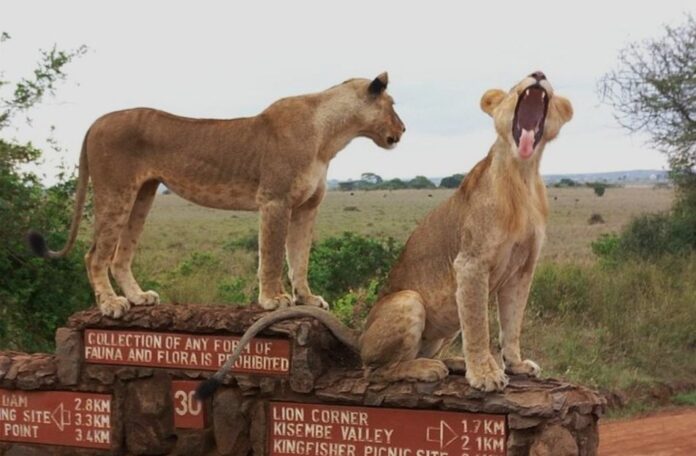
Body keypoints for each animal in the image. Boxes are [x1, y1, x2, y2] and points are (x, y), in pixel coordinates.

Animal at [28, 73, 405, 318]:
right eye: (393, 104)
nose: (402, 130)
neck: (330, 135)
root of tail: (96, 121)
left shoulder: (307, 207)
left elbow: (299, 259)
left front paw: (308, 299)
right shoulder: (275, 200)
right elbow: (271, 256)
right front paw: (273, 300)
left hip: (142, 195)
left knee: (120, 256)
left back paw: (138, 297)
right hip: (116, 192)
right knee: (95, 255)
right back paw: (111, 305)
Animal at [196, 71, 573, 398]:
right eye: (514, 86)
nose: (538, 73)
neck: (523, 174)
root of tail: (361, 333)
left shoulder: (523, 270)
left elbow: (512, 321)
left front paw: (515, 364)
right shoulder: (471, 263)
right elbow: (479, 326)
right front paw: (485, 373)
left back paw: (449, 361)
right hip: (409, 300)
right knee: (375, 369)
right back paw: (429, 368)